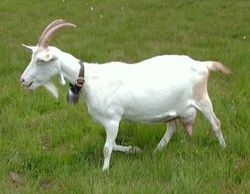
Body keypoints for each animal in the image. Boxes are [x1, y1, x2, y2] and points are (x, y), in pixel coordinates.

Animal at [20, 19, 229, 171]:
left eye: (40, 61)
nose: (23, 80)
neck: (90, 79)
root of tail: (203, 64)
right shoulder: (108, 122)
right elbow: (113, 145)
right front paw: (134, 149)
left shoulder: (113, 120)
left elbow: (106, 148)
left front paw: (104, 171)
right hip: (173, 110)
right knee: (172, 128)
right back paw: (157, 150)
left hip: (202, 99)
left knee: (216, 123)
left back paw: (224, 148)